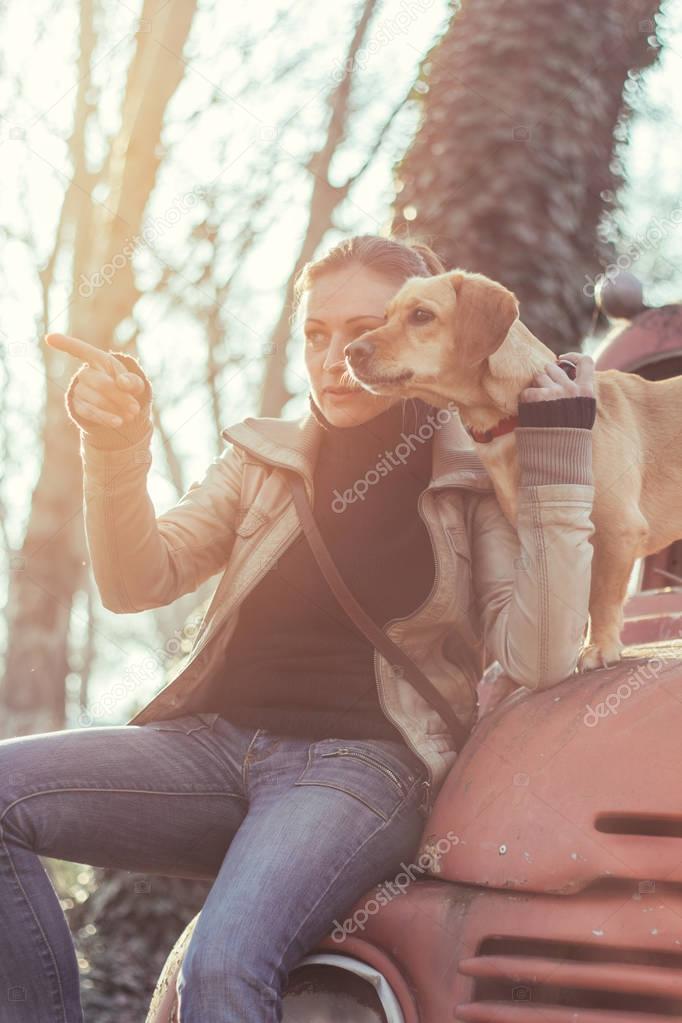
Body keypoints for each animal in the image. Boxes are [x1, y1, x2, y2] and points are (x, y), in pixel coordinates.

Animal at [347, 268, 682, 675]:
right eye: (385, 317)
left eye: (421, 316)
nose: (350, 352)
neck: (515, 418)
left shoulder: (619, 529)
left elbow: (600, 598)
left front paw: (600, 647)